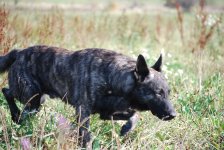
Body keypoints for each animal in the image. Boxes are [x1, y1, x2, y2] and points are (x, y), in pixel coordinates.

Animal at [0, 45, 175, 146]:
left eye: (168, 93)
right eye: (157, 93)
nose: (173, 115)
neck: (113, 77)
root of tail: (19, 52)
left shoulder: (109, 113)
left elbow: (134, 115)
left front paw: (126, 129)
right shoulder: (83, 112)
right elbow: (86, 137)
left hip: (36, 101)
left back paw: (18, 119)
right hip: (31, 96)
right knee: (6, 91)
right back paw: (15, 115)